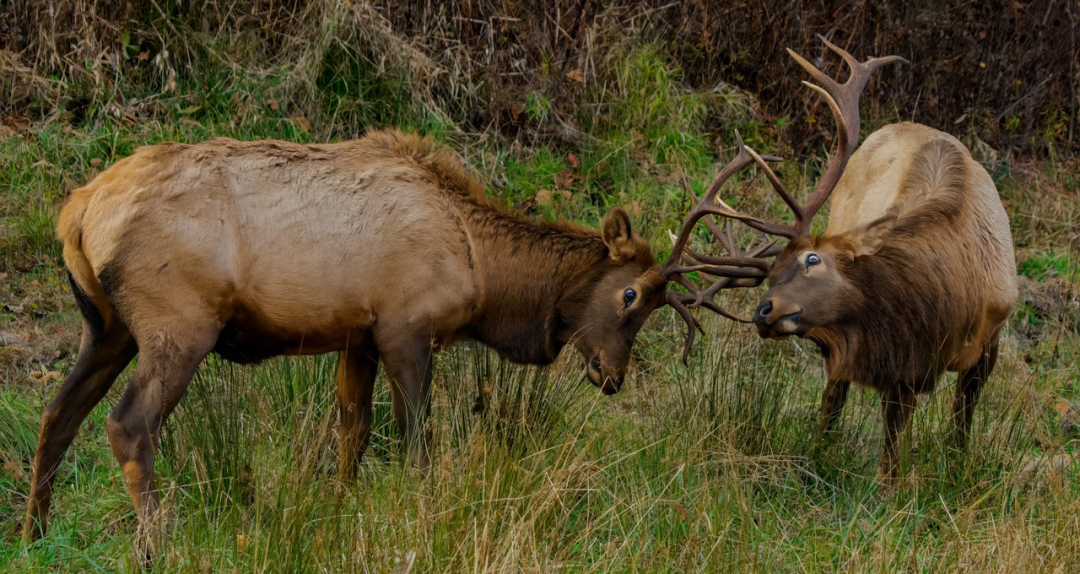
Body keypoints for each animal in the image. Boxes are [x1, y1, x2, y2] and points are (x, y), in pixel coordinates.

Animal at [663, 37, 1019, 480]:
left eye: (813, 260)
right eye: (771, 275)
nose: (763, 311)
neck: (947, 309)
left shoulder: (989, 337)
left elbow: (959, 424)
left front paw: (955, 468)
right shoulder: (900, 367)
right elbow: (891, 451)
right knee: (832, 399)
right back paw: (821, 450)